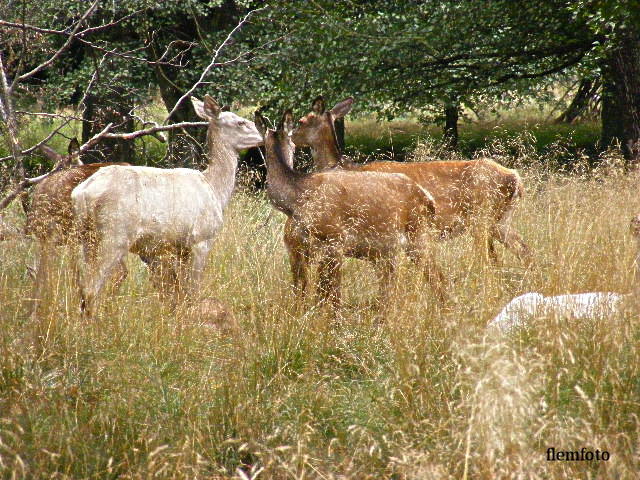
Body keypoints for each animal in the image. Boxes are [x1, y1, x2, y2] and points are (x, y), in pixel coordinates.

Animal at [74, 95, 264, 316]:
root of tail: (82, 193)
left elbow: (180, 292)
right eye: (240, 122)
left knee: (84, 286)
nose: (264, 133)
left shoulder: (180, 247)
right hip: (114, 234)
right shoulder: (201, 238)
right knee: (91, 287)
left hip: (88, 237)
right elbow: (193, 290)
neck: (215, 190)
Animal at [255, 109, 444, 314]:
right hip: (388, 249)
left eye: (300, 124)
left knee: (437, 277)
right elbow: (315, 293)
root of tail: (427, 199)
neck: (299, 200)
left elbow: (332, 296)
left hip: (417, 234)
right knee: (391, 290)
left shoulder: (335, 241)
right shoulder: (304, 251)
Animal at [292, 95, 532, 264]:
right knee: (524, 249)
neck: (348, 169)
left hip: (483, 216)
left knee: (493, 259)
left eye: (301, 120)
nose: (291, 138)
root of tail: (516, 179)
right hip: (501, 220)